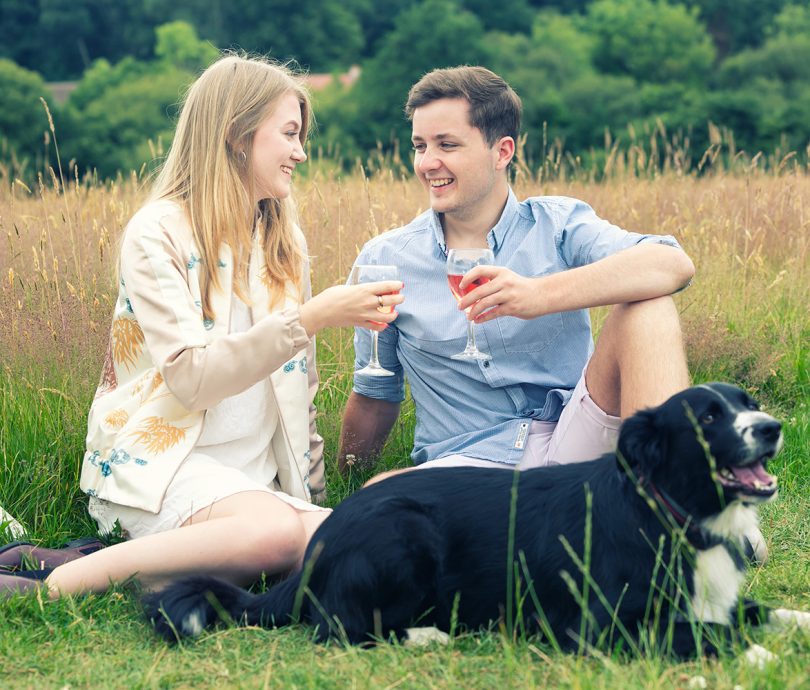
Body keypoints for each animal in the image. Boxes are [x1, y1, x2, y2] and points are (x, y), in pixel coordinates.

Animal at [145, 382, 808, 656]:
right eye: (707, 418)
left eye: (748, 404)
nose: (773, 429)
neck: (669, 514)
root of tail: (319, 543)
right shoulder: (596, 627)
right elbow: (707, 634)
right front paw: (756, 657)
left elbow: (761, 613)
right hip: (403, 537)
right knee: (341, 627)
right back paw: (429, 635)